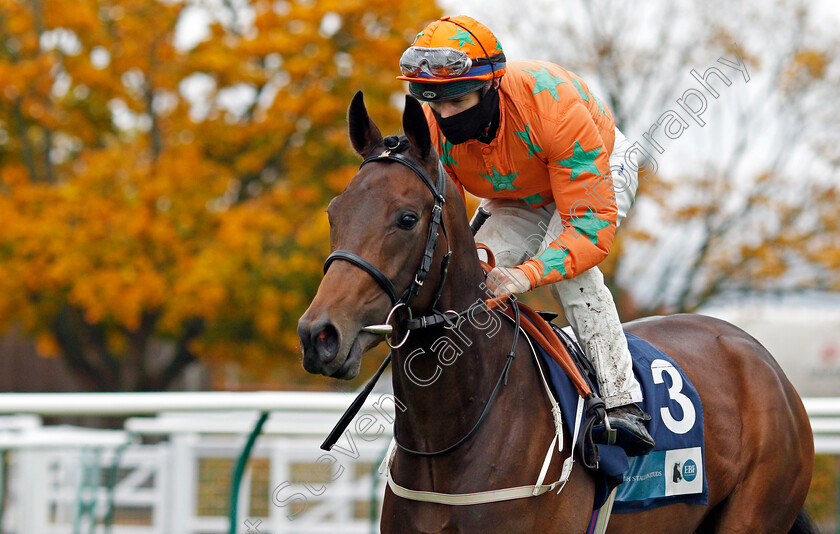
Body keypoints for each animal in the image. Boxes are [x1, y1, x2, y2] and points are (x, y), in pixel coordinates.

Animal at [296, 93, 812, 534]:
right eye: (333, 212)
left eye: (406, 218)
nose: (319, 334)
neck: (453, 433)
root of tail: (762, 359)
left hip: (754, 512)